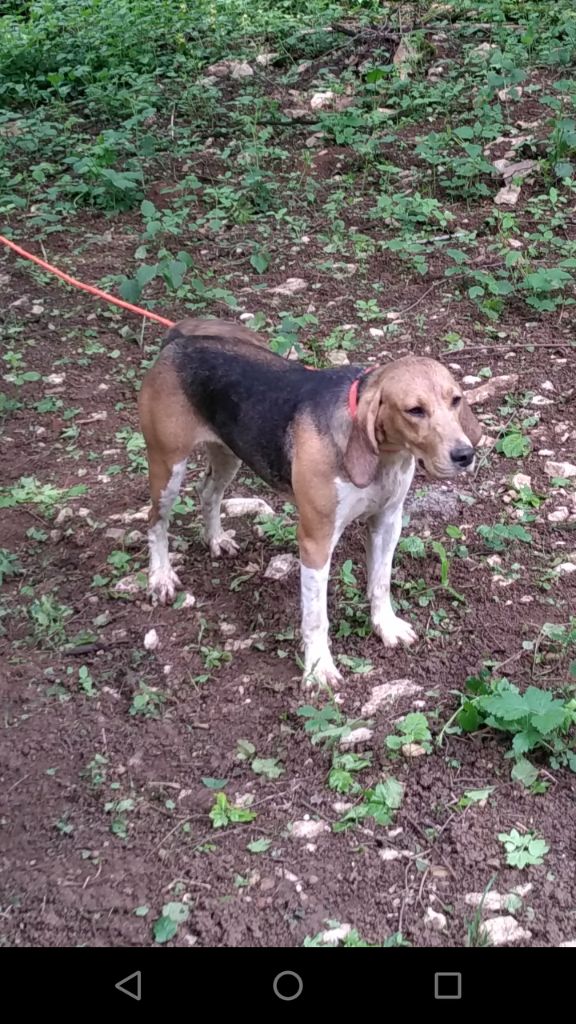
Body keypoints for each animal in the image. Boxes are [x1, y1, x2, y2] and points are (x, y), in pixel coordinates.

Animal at [138, 319, 479, 688]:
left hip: (229, 455)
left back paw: (215, 538)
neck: (384, 458)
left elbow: (381, 583)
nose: (465, 455)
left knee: (208, 493)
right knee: (156, 521)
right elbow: (317, 617)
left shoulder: (388, 522)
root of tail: (178, 341)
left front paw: (385, 626)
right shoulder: (316, 541)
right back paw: (161, 577)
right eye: (415, 411)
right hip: (167, 466)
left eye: (456, 400)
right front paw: (319, 668)